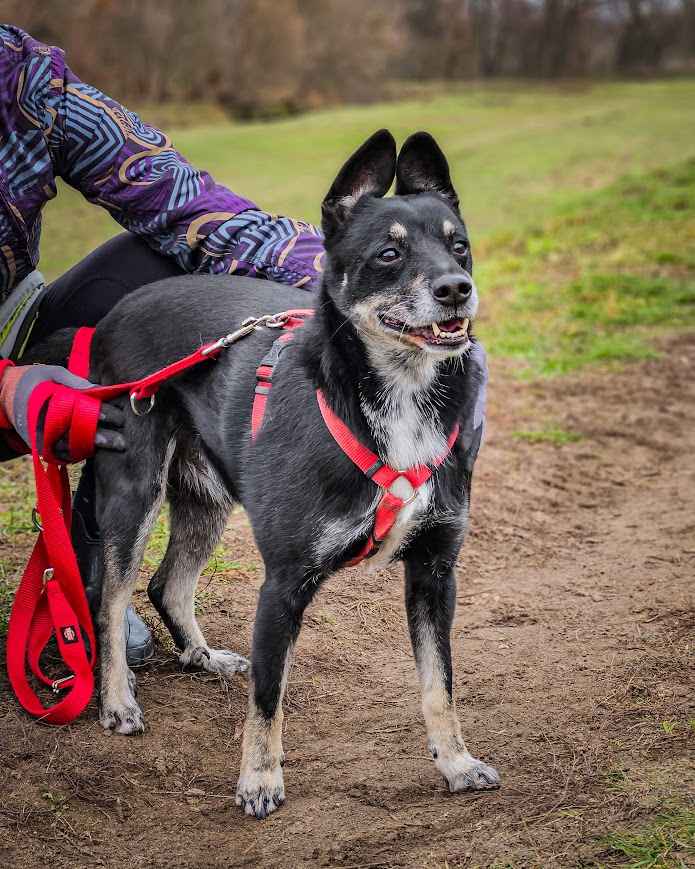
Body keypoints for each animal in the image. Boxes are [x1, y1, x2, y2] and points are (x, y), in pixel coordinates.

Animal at [38, 129, 498, 812]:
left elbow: (439, 681)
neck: (397, 395)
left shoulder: (435, 570)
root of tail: (115, 313)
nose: (456, 288)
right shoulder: (283, 584)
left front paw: (458, 762)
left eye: (458, 245)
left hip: (205, 497)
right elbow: (269, 693)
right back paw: (117, 702)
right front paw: (259, 780)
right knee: (110, 598)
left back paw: (201, 657)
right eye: (389, 253)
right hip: (133, 491)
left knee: (166, 585)